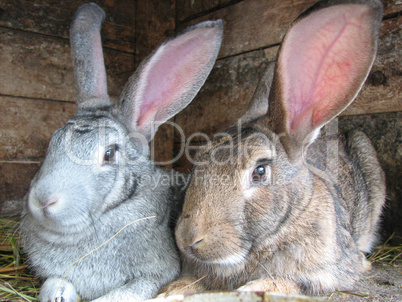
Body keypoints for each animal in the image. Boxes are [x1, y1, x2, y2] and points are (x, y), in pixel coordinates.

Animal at [20, 2, 223, 302]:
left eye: (109, 154)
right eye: (52, 141)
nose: (43, 200)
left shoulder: (155, 275)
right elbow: (54, 283)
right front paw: (56, 295)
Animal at [163, 0, 386, 296]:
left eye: (259, 171)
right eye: (198, 161)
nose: (189, 239)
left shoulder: (331, 270)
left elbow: (289, 282)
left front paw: (252, 289)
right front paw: (169, 291)